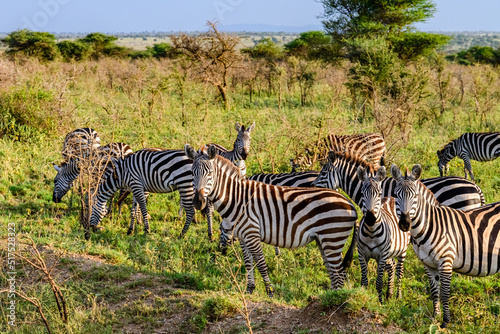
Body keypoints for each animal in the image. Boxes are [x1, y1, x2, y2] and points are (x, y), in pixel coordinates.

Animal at [185, 145, 360, 296]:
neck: (236, 198)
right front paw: (249, 289)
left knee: (339, 274)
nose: (198, 202)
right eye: (192, 172)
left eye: (209, 173)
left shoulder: (252, 233)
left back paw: (333, 300)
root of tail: (350, 203)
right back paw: (330, 297)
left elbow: (261, 263)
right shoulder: (243, 236)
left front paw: (270, 291)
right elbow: (248, 263)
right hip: (324, 240)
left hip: (332, 238)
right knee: (334, 273)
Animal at [356, 166, 410, 304]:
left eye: (379, 194)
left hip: (402, 250)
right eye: (362, 194)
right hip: (389, 253)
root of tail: (392, 197)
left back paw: (398, 296)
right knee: (392, 266)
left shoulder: (381, 256)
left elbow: (379, 282)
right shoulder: (361, 254)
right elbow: (364, 281)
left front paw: (380, 303)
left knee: (399, 270)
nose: (370, 219)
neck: (371, 233)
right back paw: (389, 293)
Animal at [390, 163, 500, 328]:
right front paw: (435, 317)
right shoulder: (428, 264)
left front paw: (445, 321)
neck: (429, 226)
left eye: (415, 196)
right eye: (396, 196)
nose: (404, 224)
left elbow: (445, 293)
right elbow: (434, 291)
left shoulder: (446, 261)